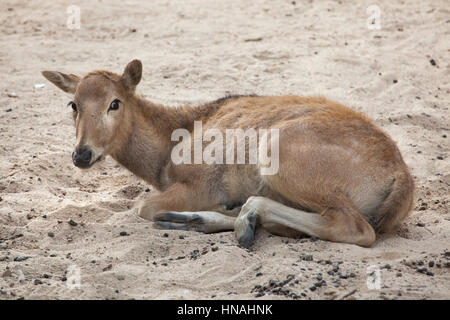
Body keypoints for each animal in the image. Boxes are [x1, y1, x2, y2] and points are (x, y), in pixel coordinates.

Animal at [42, 60, 414, 250]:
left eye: (114, 102)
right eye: (73, 103)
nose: (82, 154)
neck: (165, 152)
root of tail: (402, 179)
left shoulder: (200, 184)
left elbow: (144, 207)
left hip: (282, 158)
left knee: (355, 227)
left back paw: (242, 219)